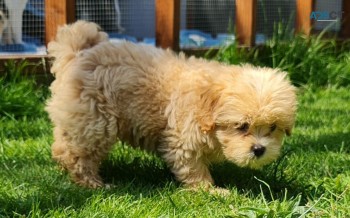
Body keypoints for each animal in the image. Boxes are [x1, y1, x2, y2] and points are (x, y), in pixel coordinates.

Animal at [45, 21, 298, 190]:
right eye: (242, 126)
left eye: (273, 128)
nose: (259, 149)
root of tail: (78, 53)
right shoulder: (182, 138)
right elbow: (192, 167)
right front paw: (209, 191)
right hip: (96, 121)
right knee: (80, 155)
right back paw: (93, 183)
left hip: (79, 116)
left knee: (63, 144)